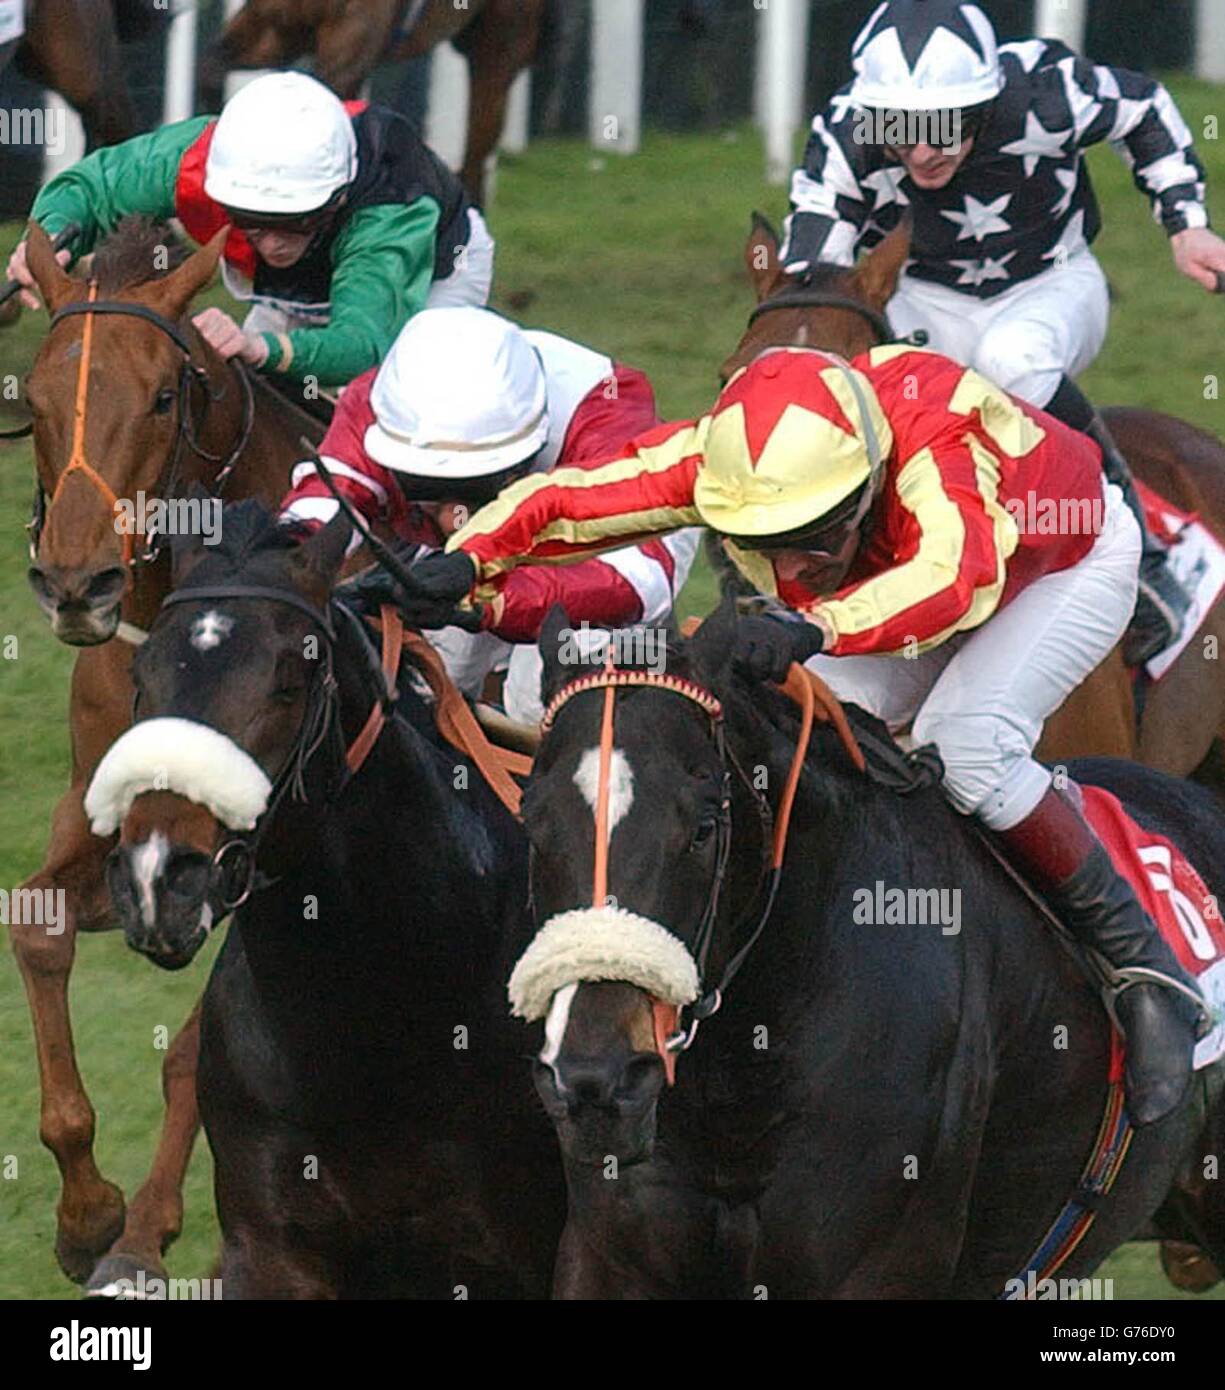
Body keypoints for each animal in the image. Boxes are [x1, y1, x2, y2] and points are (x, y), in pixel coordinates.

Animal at [7, 216, 322, 1289]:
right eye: (35, 398)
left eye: (160, 396)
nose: (76, 584)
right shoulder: (107, 833)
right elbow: (36, 926)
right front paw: (85, 1213)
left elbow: (196, 1043)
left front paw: (141, 1231)